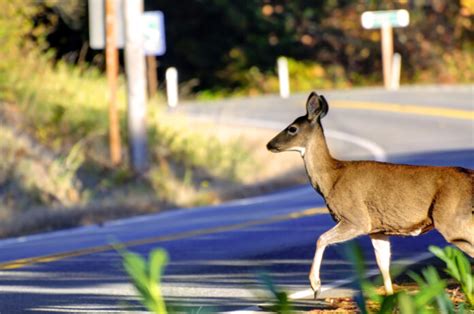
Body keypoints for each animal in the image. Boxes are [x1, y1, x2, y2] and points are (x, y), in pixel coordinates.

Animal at [266, 92, 474, 298]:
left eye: (292, 128)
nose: (269, 144)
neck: (331, 178)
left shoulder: (356, 218)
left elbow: (321, 238)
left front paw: (315, 285)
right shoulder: (378, 229)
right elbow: (383, 265)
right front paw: (389, 297)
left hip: (451, 219)